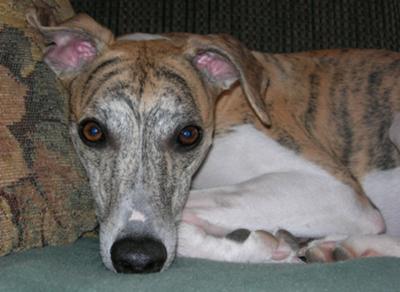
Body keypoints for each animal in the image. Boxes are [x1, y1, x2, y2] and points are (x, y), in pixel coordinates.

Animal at [26, 9, 400, 274]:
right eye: (93, 132)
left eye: (188, 135)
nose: (137, 258)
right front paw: (267, 247)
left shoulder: (335, 191)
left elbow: (189, 209)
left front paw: (263, 245)